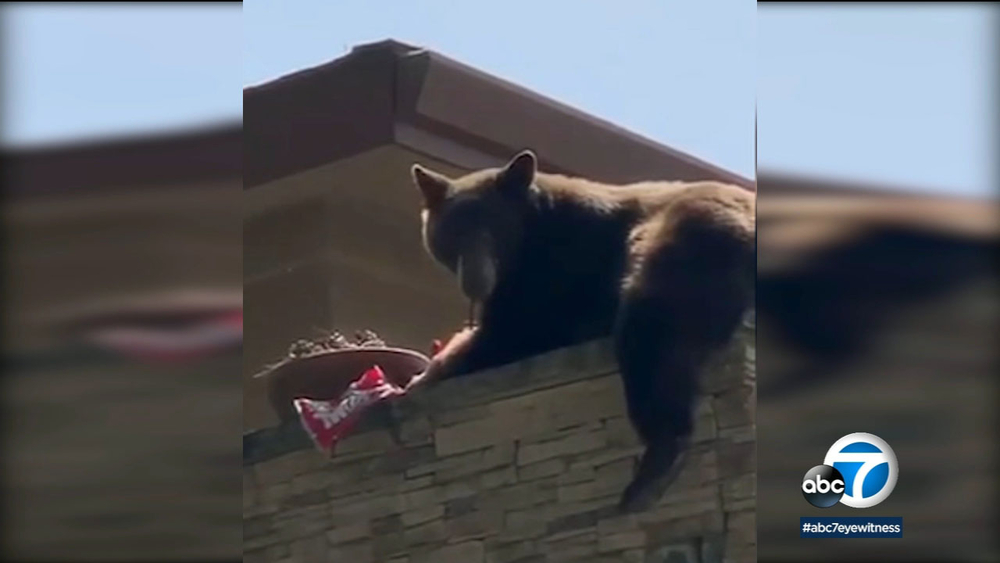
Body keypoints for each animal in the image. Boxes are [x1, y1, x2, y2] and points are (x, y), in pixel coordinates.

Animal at [406, 149, 755, 512]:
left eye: (497, 228)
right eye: (452, 233)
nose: (476, 282)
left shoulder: (554, 273)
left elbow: (511, 334)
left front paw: (424, 375)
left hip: (687, 240)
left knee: (654, 336)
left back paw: (652, 474)